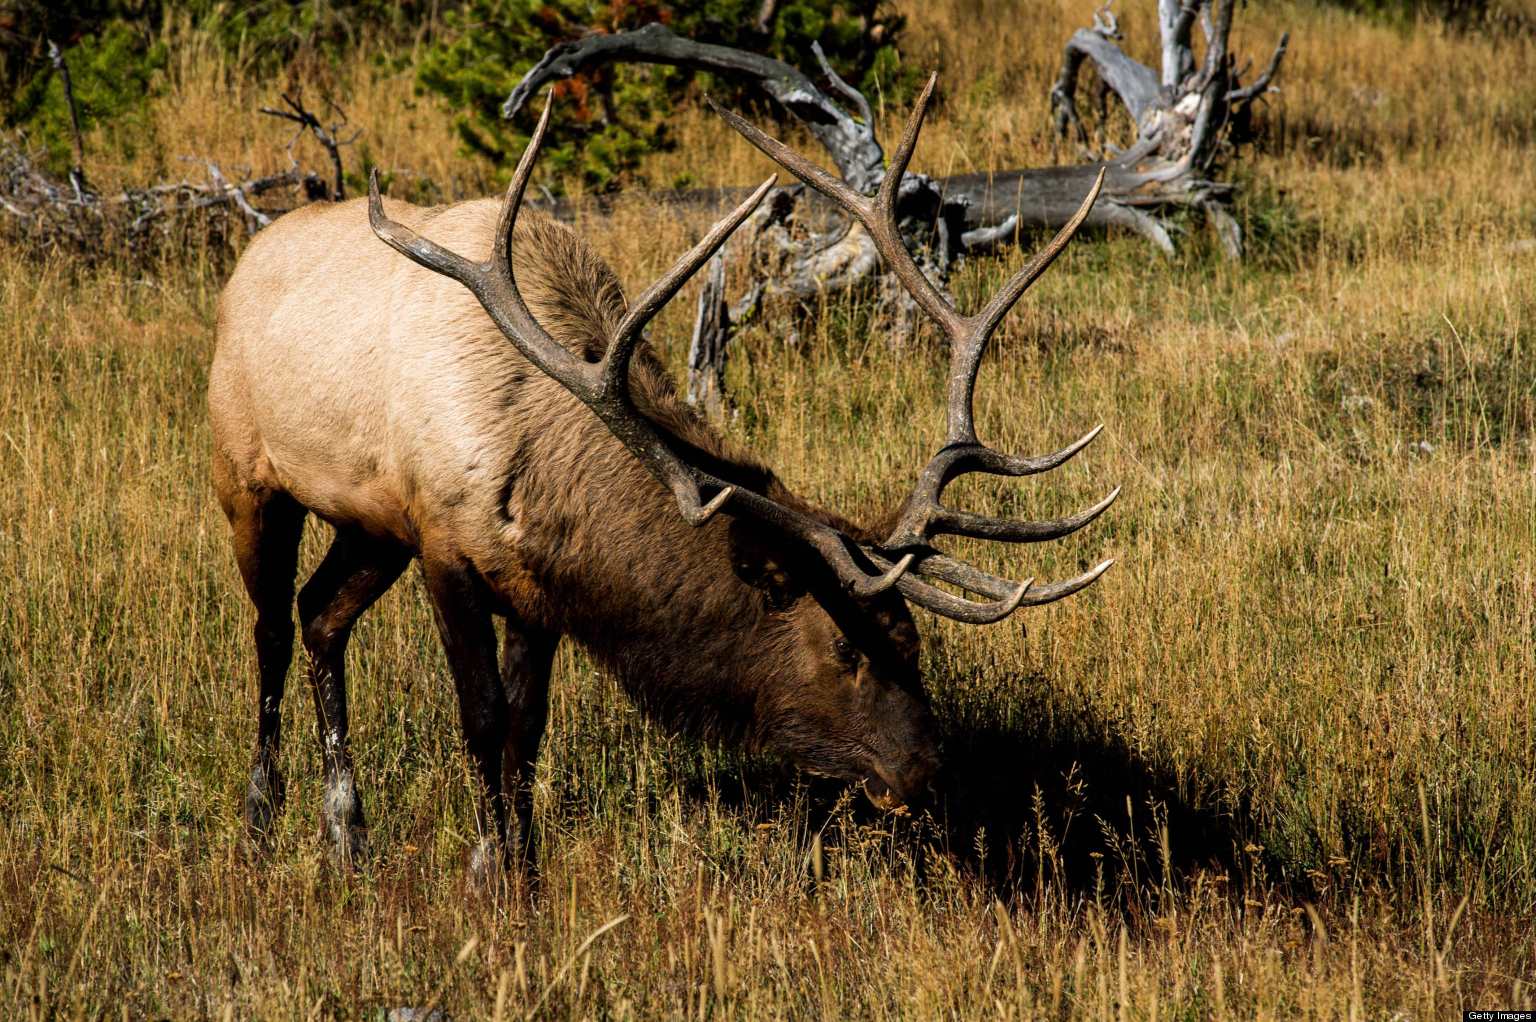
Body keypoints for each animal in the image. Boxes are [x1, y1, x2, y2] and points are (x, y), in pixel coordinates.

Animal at [207, 75, 1118, 866]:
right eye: (843, 648)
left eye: (912, 638)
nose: (927, 771)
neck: (536, 458)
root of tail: (247, 256)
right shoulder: (444, 545)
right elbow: (484, 717)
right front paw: (489, 871)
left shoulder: (532, 587)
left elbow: (527, 731)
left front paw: (521, 870)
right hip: (248, 477)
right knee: (271, 628)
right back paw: (261, 815)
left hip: (369, 525)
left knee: (321, 613)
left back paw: (345, 829)